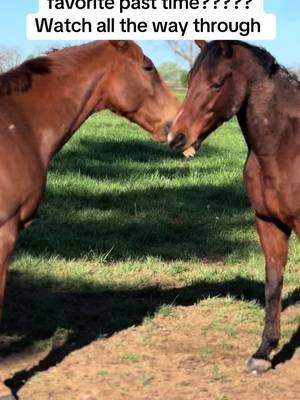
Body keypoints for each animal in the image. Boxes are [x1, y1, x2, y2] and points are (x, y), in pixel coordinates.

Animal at [170, 39, 300, 374]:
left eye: (216, 83)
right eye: (190, 79)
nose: (177, 137)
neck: (283, 149)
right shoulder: (268, 223)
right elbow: (273, 284)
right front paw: (264, 352)